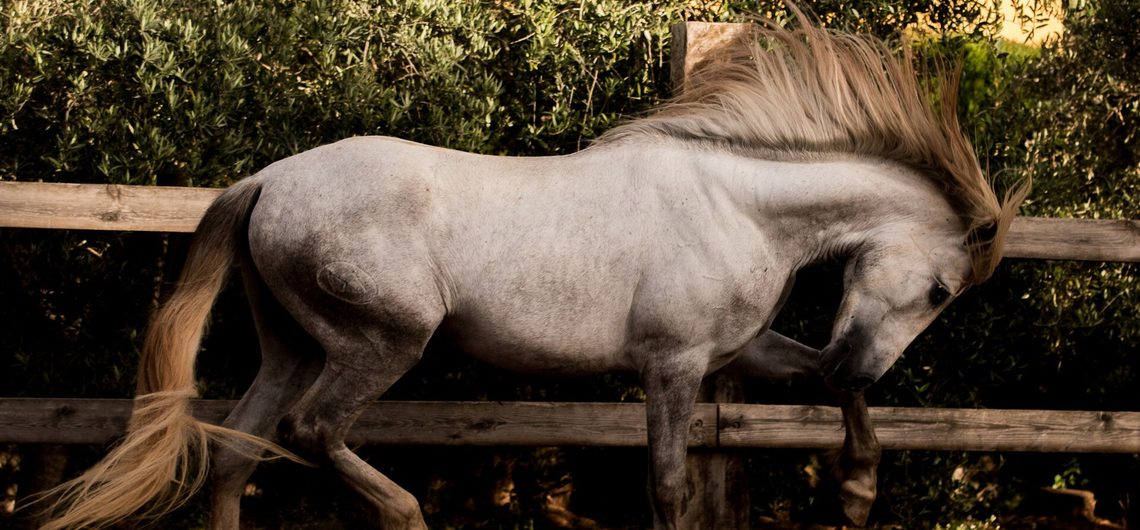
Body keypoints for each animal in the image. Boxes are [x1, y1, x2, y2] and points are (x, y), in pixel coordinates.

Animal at [40, 8, 1027, 530]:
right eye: (940, 290)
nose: (870, 359)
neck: (735, 206)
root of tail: (267, 181)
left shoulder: (733, 354)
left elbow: (829, 387)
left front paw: (856, 493)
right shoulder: (672, 366)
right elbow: (668, 484)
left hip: (288, 346)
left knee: (234, 456)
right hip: (382, 340)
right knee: (311, 431)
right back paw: (406, 512)